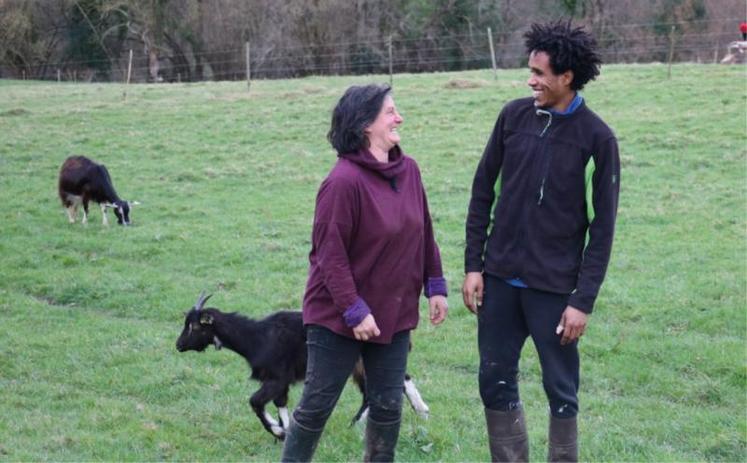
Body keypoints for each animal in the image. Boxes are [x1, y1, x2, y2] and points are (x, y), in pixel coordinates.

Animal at [175, 294, 430, 442]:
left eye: (194, 326)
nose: (178, 345)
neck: (257, 338)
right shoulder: (279, 382)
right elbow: (280, 404)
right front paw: (286, 431)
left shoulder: (277, 377)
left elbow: (255, 402)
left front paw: (279, 431)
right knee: (374, 391)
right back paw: (359, 423)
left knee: (395, 382)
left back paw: (421, 410)